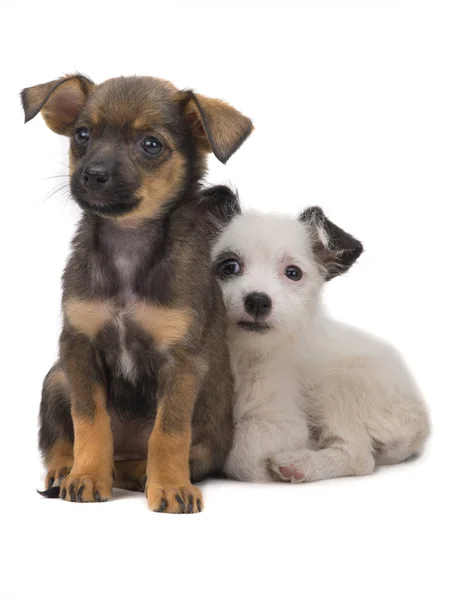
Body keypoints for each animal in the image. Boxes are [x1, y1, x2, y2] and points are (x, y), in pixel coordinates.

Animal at [21, 72, 252, 508]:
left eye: (151, 144)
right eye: (82, 135)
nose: (93, 174)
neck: (128, 243)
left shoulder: (181, 362)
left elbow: (169, 432)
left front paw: (171, 486)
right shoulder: (79, 348)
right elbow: (89, 420)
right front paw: (86, 476)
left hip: (210, 443)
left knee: (156, 454)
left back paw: (140, 474)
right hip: (57, 377)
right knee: (61, 439)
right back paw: (66, 470)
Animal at [212, 202, 428, 482]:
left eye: (293, 273)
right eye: (229, 266)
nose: (258, 301)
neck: (242, 351)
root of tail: (420, 421)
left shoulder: (283, 423)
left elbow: (242, 452)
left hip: (342, 385)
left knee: (359, 456)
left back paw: (299, 464)